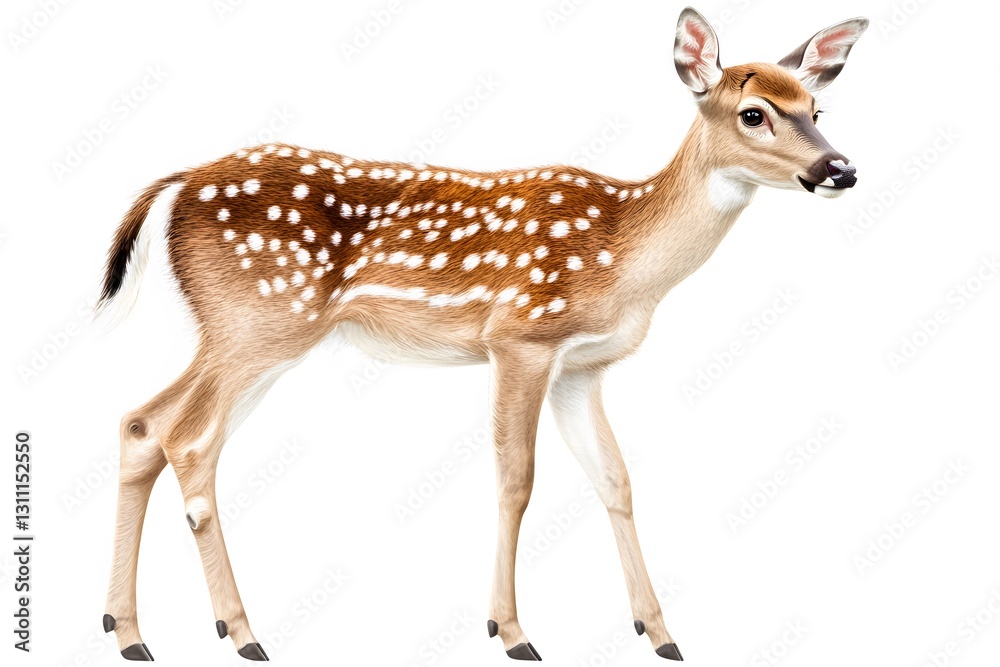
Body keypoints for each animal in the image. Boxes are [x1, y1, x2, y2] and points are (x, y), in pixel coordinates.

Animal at [98, 7, 868, 662]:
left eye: (817, 109)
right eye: (754, 113)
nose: (841, 168)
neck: (625, 259)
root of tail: (179, 182)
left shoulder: (583, 366)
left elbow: (615, 479)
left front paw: (660, 633)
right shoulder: (520, 336)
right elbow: (516, 478)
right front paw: (512, 631)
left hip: (244, 331)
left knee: (144, 423)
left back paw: (129, 630)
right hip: (261, 317)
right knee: (188, 440)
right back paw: (241, 631)